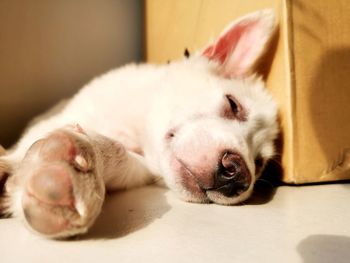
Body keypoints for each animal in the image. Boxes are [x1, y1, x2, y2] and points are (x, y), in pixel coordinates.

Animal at [0, 9, 278, 238]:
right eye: (234, 105)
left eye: (259, 163)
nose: (238, 176)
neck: (139, 135)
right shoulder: (58, 119)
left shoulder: (138, 169)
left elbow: (115, 152)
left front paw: (76, 164)